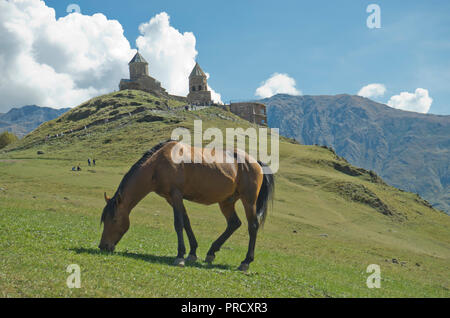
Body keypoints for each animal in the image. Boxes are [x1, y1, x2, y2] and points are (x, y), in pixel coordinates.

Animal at [99, 139, 274, 270]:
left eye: (114, 220)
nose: (103, 246)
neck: (158, 164)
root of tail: (255, 162)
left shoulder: (176, 195)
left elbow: (178, 223)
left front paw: (180, 256)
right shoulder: (172, 198)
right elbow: (186, 223)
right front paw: (192, 253)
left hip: (248, 201)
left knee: (253, 226)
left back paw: (245, 262)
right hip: (226, 202)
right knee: (234, 223)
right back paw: (211, 252)